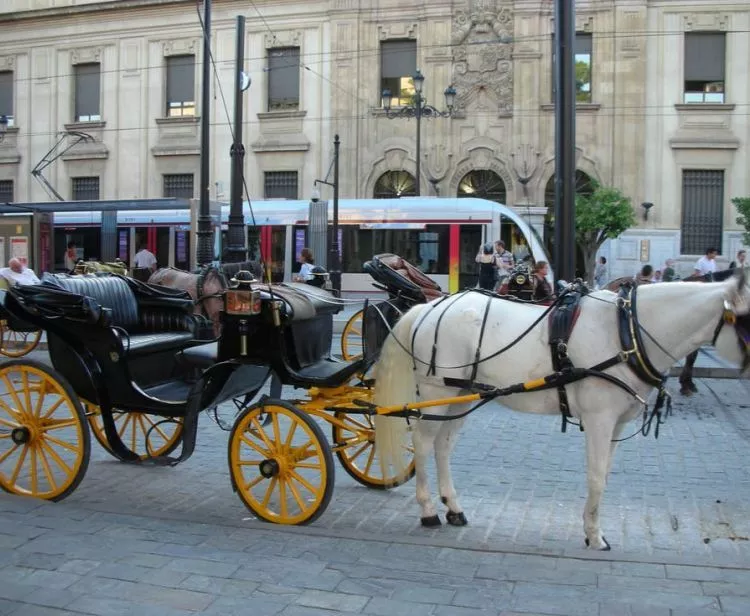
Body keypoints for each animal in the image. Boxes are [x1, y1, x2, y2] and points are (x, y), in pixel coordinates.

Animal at [376, 274, 750, 548]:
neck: (626, 332)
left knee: (443, 446)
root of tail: (430, 307)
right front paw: (595, 536)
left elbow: (605, 475)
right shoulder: (600, 420)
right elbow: (596, 476)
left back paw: (453, 507)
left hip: (461, 393)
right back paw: (427, 510)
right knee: (423, 443)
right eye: (746, 321)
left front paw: (592, 527)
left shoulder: (616, 424)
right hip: (437, 392)